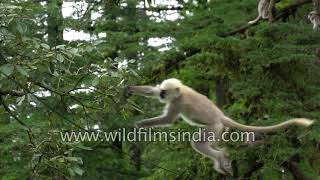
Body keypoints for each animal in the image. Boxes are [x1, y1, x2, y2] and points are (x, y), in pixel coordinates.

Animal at [126, 78, 314, 175]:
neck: (182, 91)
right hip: (219, 131)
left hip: (214, 127)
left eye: (165, 93)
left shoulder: (177, 102)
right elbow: (151, 91)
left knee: (199, 142)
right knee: (213, 144)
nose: (162, 95)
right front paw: (129, 88)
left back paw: (221, 158)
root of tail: (221, 116)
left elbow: (168, 119)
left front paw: (140, 124)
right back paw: (225, 157)